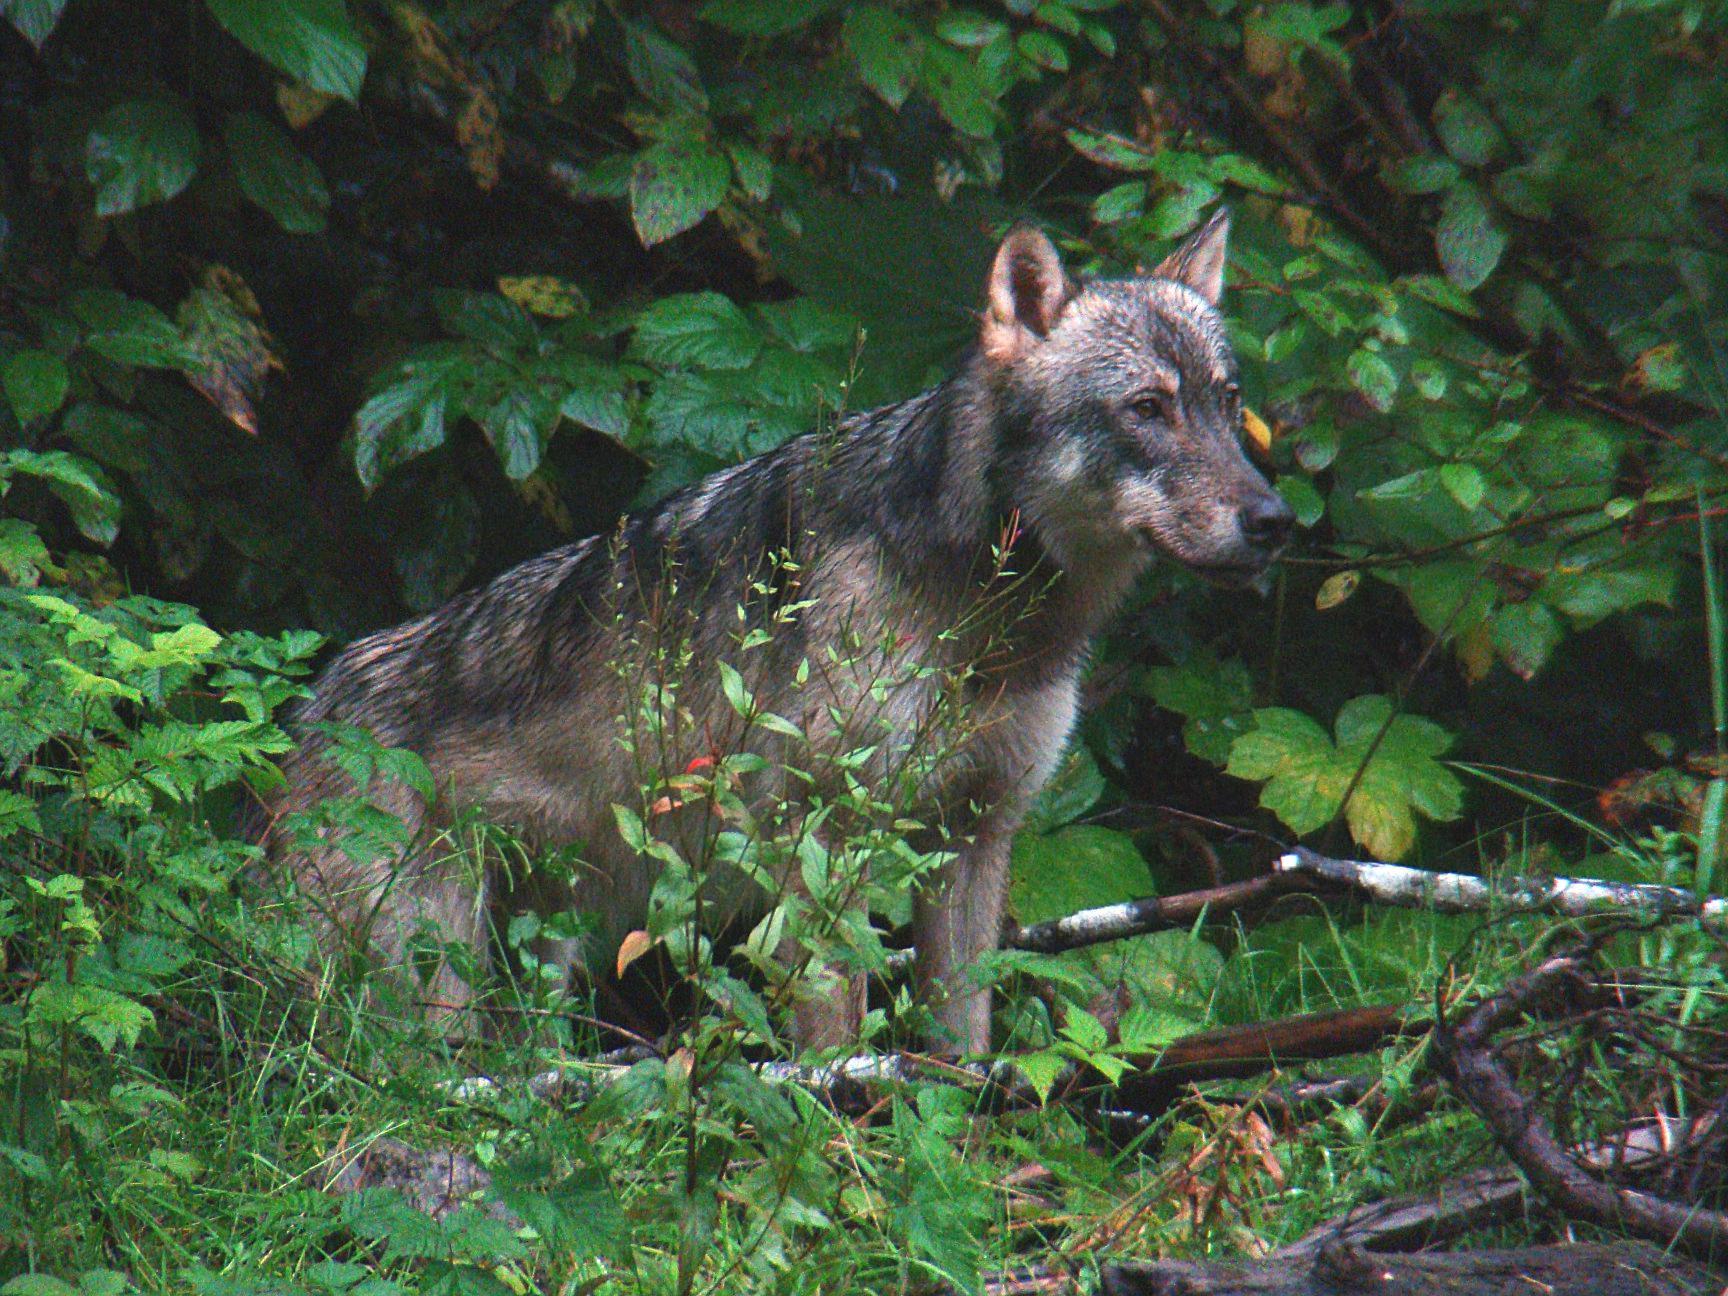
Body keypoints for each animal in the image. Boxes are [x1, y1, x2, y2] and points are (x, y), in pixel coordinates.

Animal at [269, 213, 1292, 1057]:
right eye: (1147, 408)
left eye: (1227, 402)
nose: (1276, 522)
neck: (989, 622)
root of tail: (311, 707)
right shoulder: (821, 842)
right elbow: (833, 1038)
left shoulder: (974, 836)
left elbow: (960, 1044)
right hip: (416, 985)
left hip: (536, 958)